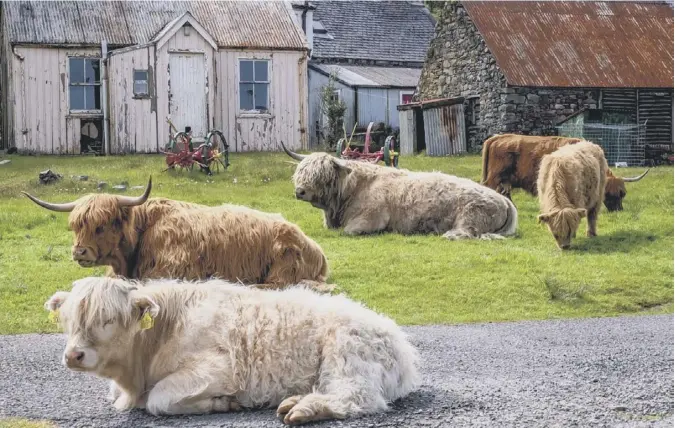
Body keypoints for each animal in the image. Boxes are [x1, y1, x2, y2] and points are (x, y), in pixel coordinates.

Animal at [45, 276, 420, 422]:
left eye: (108, 318)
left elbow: (160, 399)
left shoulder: (218, 370)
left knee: (356, 398)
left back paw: (304, 410)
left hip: (347, 358)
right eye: (68, 319)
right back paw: (295, 400)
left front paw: (221, 403)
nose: (73, 355)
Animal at [280, 142, 516, 239]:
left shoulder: (368, 220)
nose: (300, 191)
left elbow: (348, 231)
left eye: (321, 175)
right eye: (301, 172)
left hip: (469, 217)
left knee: (467, 233)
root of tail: (503, 200)